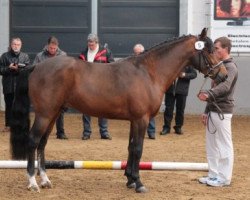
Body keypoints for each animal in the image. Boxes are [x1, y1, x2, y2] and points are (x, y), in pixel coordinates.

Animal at [10, 28, 228, 192]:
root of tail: (36, 67)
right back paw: (32, 183)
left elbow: (131, 148)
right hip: (44, 114)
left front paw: (130, 179)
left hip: (53, 114)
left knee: (42, 143)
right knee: (33, 141)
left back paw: (45, 180)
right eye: (209, 50)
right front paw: (139, 183)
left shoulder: (134, 120)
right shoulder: (141, 119)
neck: (148, 72)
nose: (224, 75)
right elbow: (138, 149)